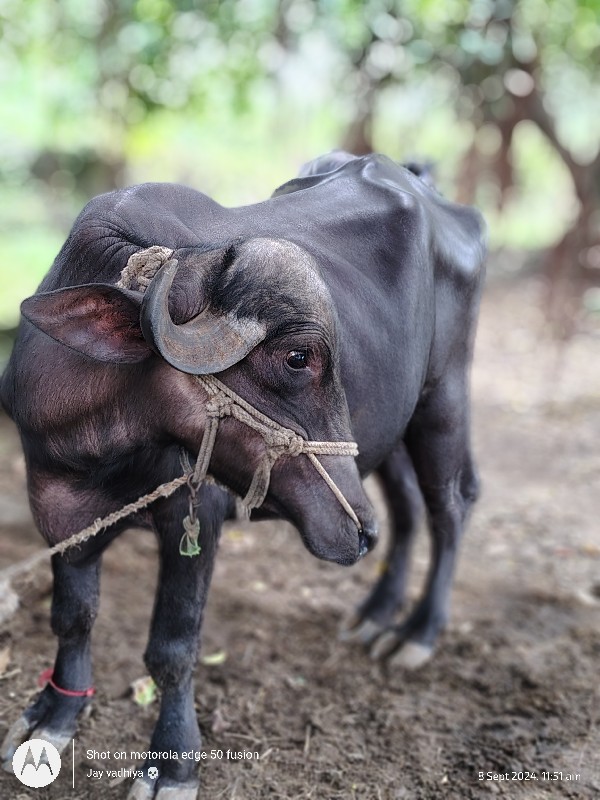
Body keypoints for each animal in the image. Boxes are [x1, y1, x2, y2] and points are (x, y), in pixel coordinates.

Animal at [0, 153, 486, 796]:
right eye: (299, 358)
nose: (357, 532)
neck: (98, 444)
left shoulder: (195, 515)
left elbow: (173, 648)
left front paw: (172, 763)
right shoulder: (55, 503)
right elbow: (73, 615)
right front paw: (55, 714)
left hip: (443, 398)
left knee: (450, 504)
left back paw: (418, 633)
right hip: (390, 431)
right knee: (405, 505)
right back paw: (378, 613)